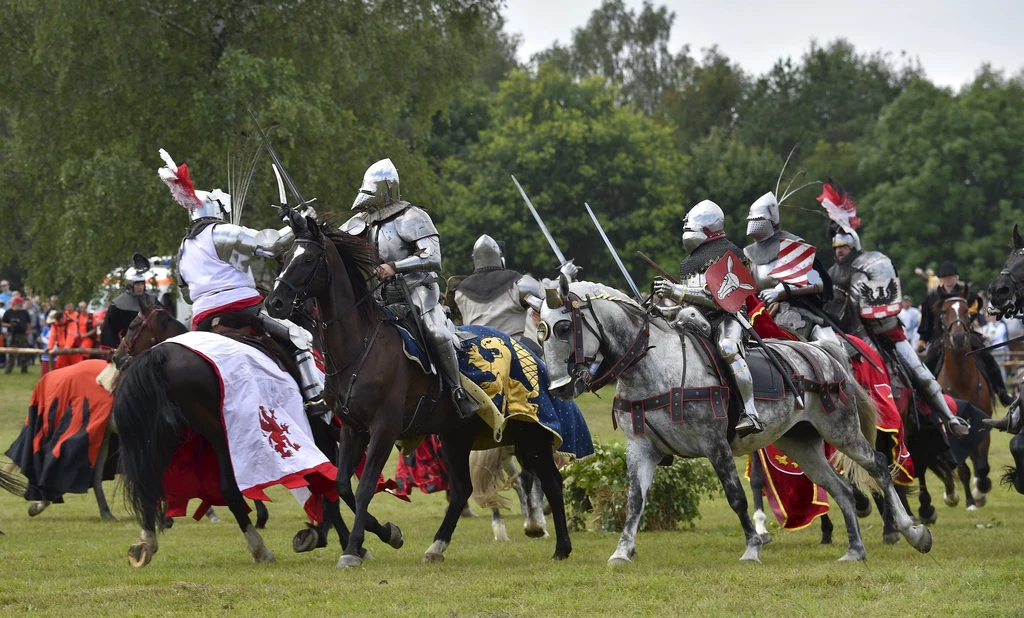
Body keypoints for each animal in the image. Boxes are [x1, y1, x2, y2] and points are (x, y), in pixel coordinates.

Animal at [264, 214, 573, 568]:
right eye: (287, 258)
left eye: (308, 260)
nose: (274, 303)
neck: (362, 345)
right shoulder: (353, 429)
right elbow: (343, 486)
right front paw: (385, 534)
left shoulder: (383, 429)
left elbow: (366, 486)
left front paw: (354, 548)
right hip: (456, 436)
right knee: (463, 488)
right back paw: (436, 546)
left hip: (528, 434)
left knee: (550, 479)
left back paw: (561, 546)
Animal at [536, 280, 937, 564]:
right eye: (540, 330)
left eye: (562, 328)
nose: (561, 387)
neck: (654, 365)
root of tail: (825, 353)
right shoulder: (641, 449)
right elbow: (635, 500)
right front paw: (621, 552)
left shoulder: (715, 445)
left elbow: (736, 497)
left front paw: (752, 549)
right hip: (801, 444)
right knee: (839, 488)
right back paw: (855, 550)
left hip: (841, 431)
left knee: (879, 466)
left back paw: (912, 532)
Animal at [937, 292, 991, 507]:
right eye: (944, 312)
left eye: (967, 311)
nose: (959, 337)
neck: (962, 383)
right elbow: (963, 469)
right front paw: (970, 501)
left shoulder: (982, 424)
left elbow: (982, 466)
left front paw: (980, 491)